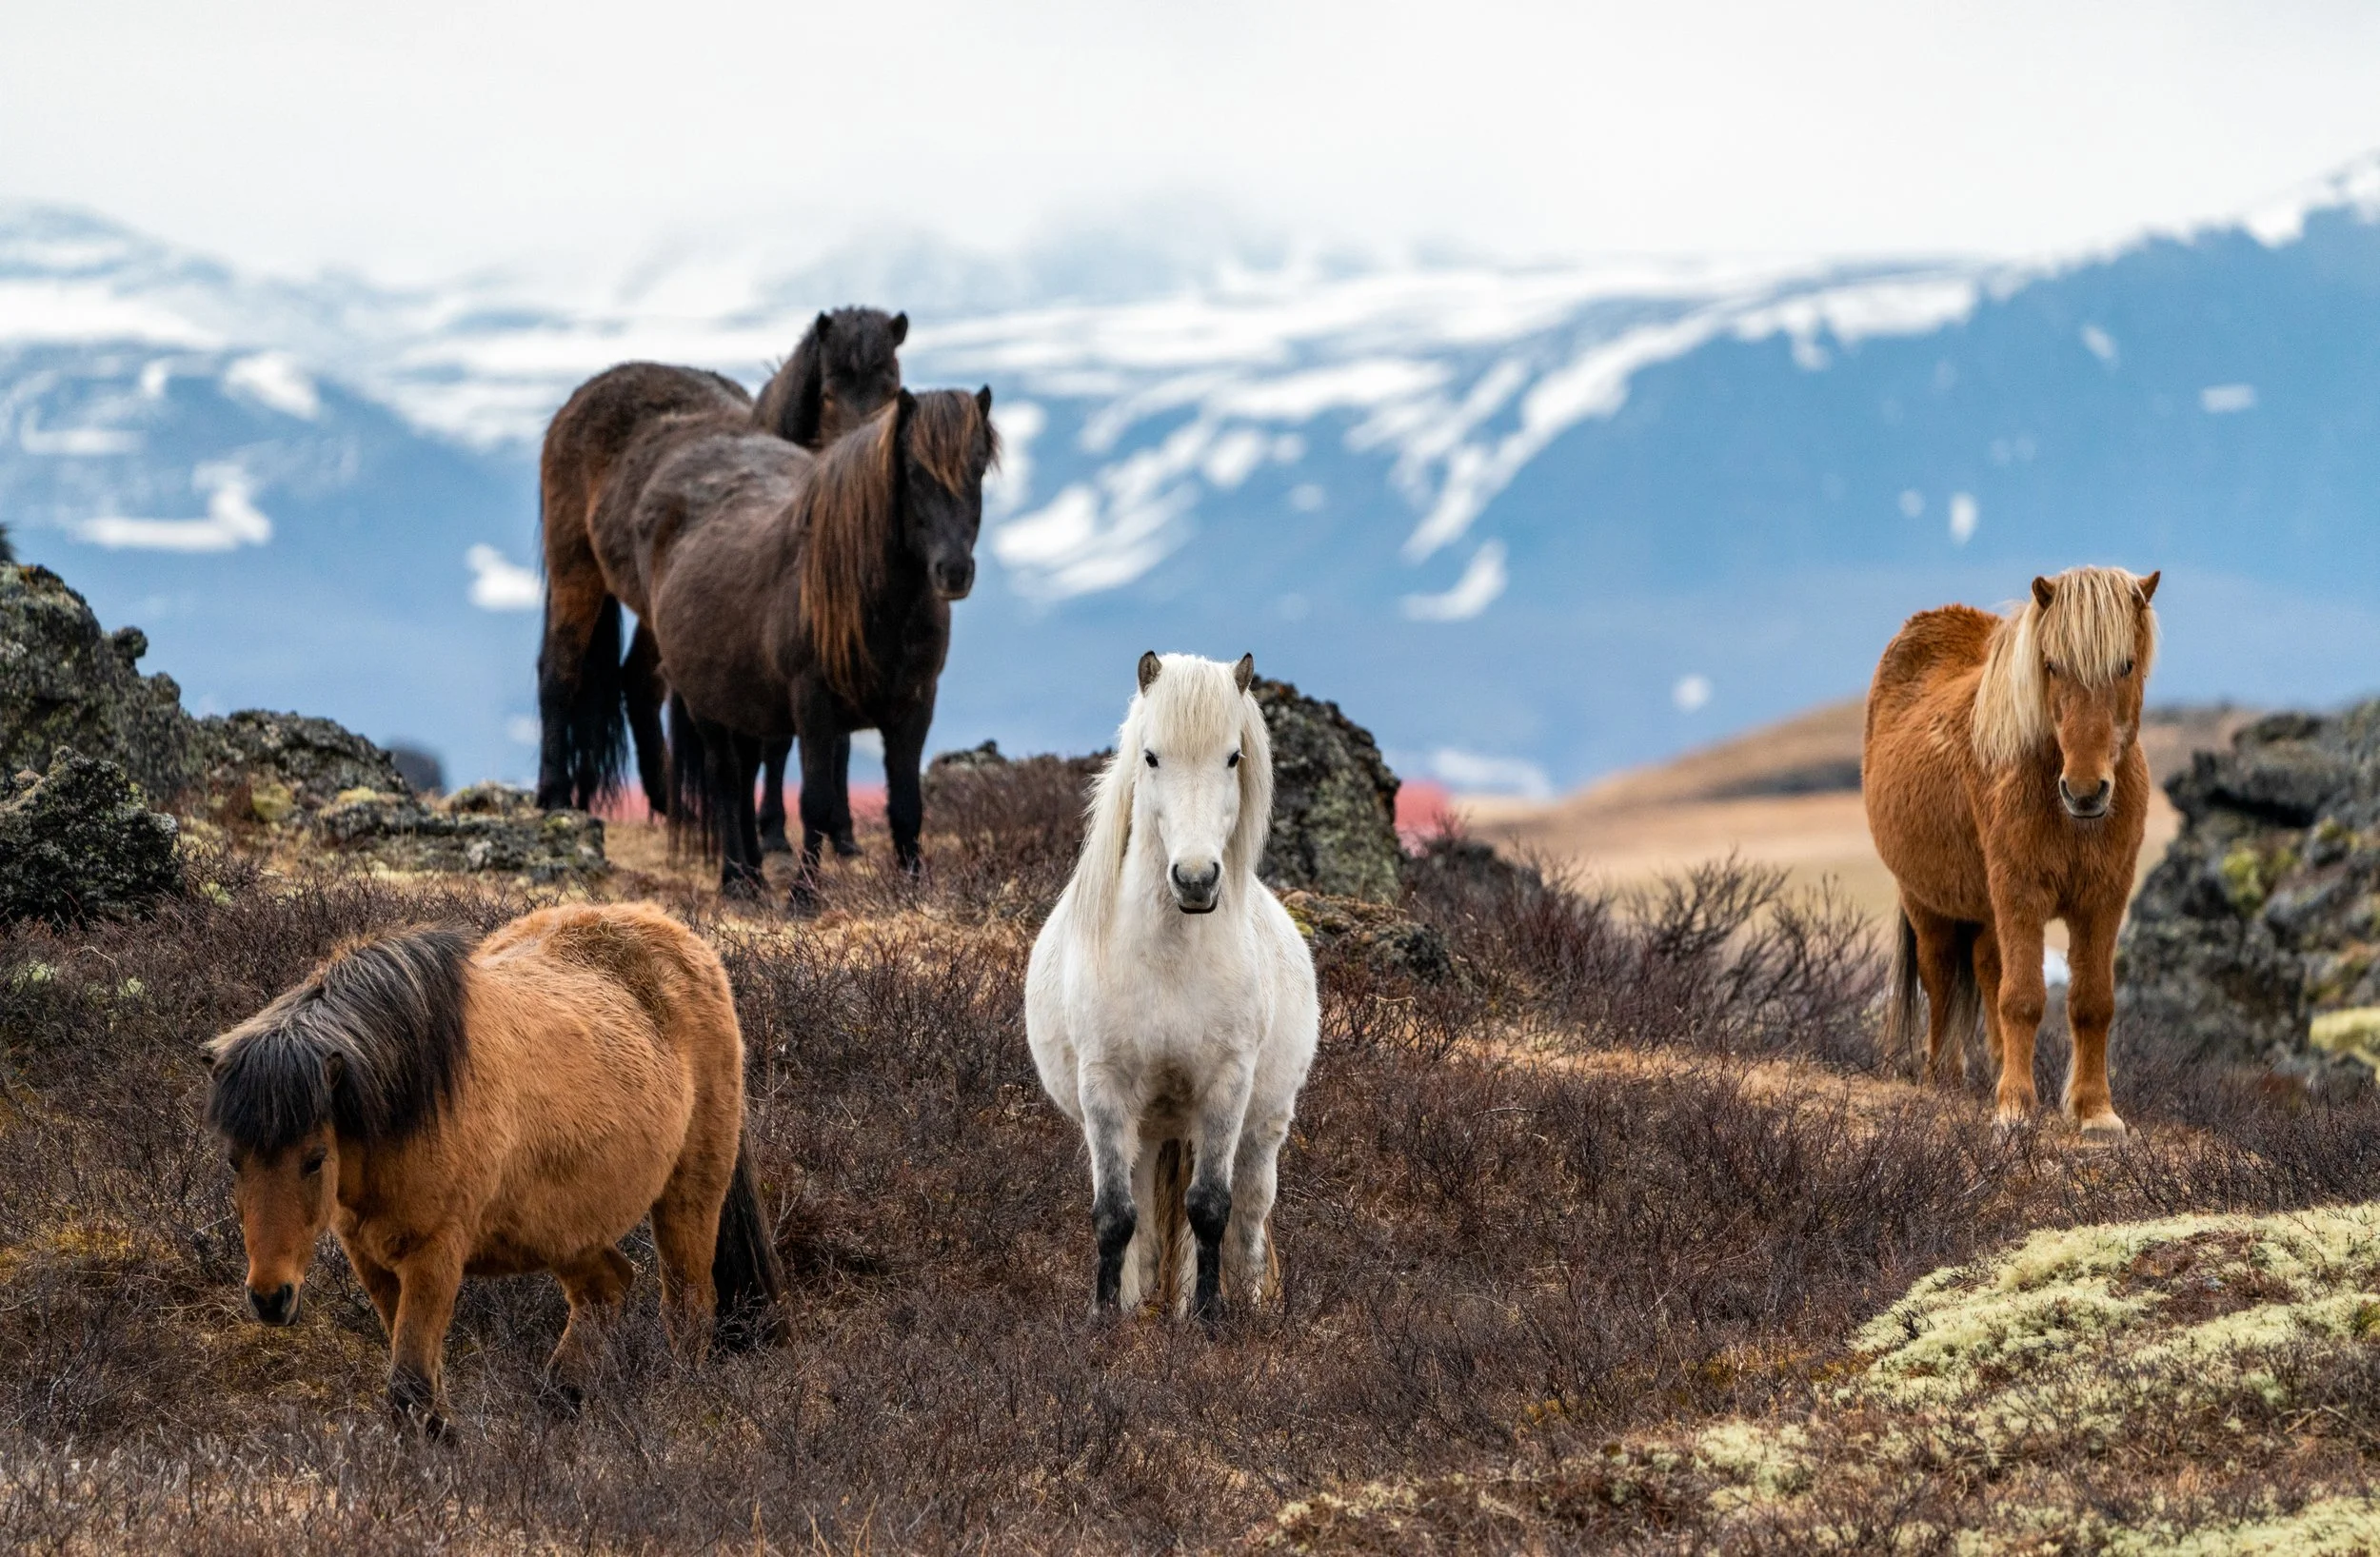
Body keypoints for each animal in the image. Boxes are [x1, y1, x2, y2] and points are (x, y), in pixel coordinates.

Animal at [204, 903, 787, 1434]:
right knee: (607, 1289)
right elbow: (420, 1385)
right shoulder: (372, 1260)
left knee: (688, 1310)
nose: (270, 1298)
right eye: (234, 1160)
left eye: (314, 1159)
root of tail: (682, 938)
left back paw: (678, 1406)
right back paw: (559, 1404)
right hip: (564, 1227)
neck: (413, 1097)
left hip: (688, 1196)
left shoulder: (435, 1257)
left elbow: (411, 1385)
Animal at [534, 308, 908, 820]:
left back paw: (674, 806)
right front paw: (770, 828)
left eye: (892, 390)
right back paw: (554, 795)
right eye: (829, 393)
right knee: (559, 671)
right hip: (575, 569)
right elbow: (774, 738)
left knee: (639, 682)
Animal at [648, 387, 998, 904]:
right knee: (725, 780)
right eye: (915, 471)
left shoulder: (916, 705)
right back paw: (735, 880)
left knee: (746, 776)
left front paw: (915, 889)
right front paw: (803, 897)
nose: (953, 571)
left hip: (747, 708)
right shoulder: (813, 704)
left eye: (977, 467)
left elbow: (907, 805)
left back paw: (754, 874)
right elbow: (816, 802)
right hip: (705, 707)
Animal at [1025, 651, 1319, 1320]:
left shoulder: (1225, 1089)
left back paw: (1245, 1305)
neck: (1167, 959)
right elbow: (1115, 1217)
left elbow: (1210, 1210)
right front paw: (1107, 1320)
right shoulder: (1104, 1090)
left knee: (1249, 1217)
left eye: (1233, 757)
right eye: (1151, 756)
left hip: (1258, 1129)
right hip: (1147, 1131)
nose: (1195, 879)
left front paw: (1208, 1320)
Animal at [1863, 565, 2162, 1140]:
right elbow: (2022, 999)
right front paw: (2015, 1109)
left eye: (2126, 665)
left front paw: (2095, 1112)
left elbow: (2092, 1003)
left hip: (1984, 910)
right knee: (1941, 978)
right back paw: (1945, 1078)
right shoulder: (2020, 894)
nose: (2085, 792)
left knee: (1985, 968)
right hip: (1927, 903)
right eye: (2052, 665)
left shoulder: (2103, 901)